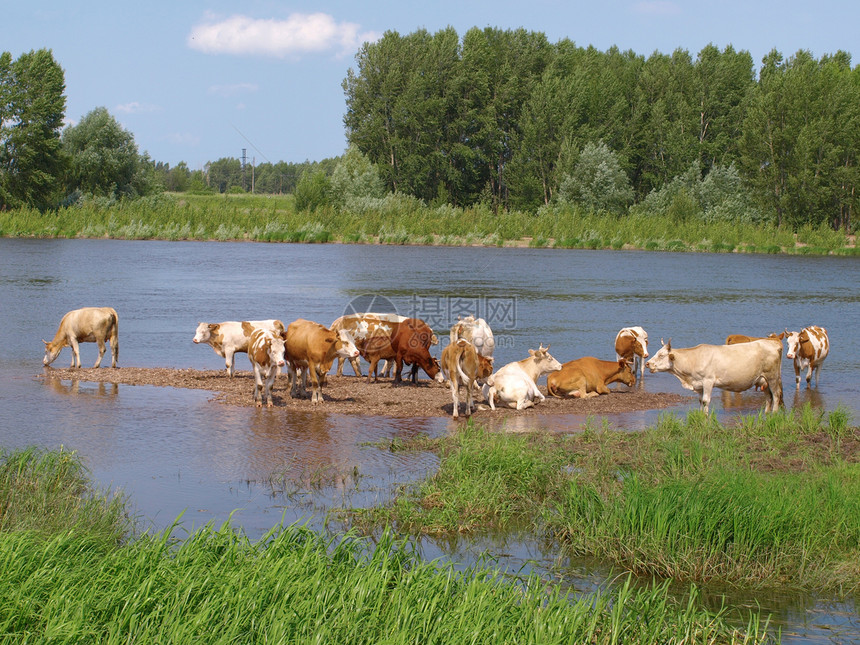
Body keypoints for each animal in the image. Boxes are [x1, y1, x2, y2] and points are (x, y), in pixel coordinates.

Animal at [640, 338, 784, 412]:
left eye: (661, 355)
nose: (647, 363)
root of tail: (772, 342)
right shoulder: (698, 384)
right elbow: (700, 401)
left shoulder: (708, 381)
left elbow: (705, 401)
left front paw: (705, 420)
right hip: (763, 380)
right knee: (768, 397)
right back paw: (765, 415)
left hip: (772, 377)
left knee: (776, 395)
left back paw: (774, 414)